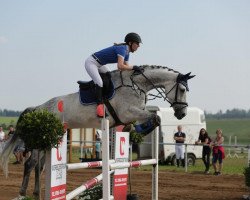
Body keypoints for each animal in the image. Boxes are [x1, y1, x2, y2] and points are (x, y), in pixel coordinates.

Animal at [0, 65, 194, 198]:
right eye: (182, 89)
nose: (182, 113)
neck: (136, 85)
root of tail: (38, 109)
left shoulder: (128, 115)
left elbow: (144, 121)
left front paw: (133, 131)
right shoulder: (128, 112)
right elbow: (155, 118)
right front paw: (141, 129)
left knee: (38, 166)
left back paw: (36, 193)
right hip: (41, 139)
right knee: (30, 164)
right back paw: (23, 193)